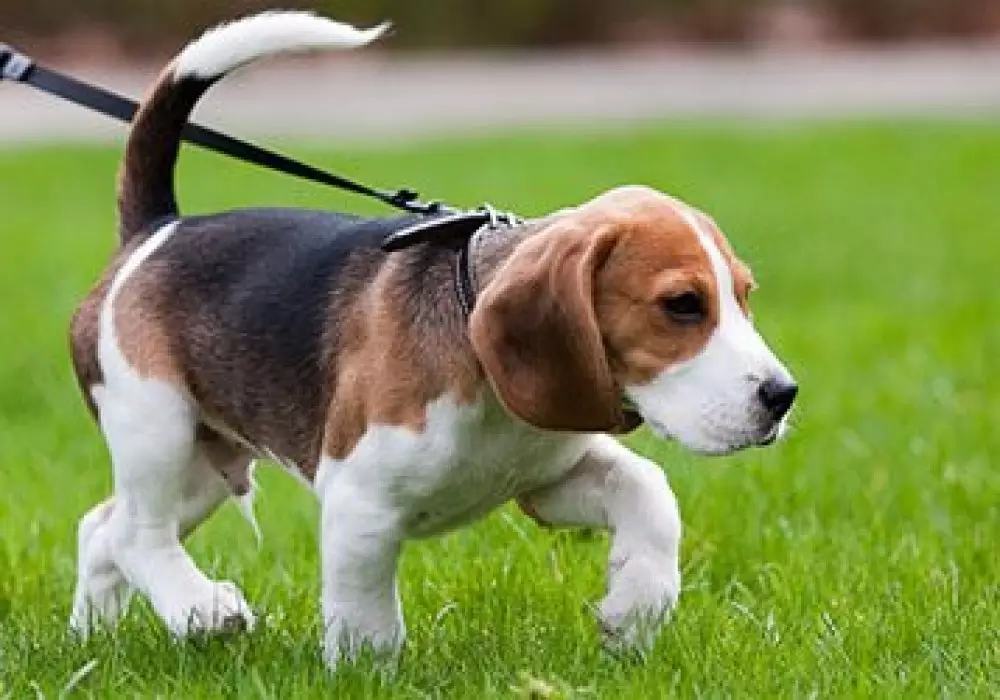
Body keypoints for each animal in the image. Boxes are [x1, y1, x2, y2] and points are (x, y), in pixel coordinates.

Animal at [66, 11, 797, 666]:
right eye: (682, 305)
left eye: (744, 296)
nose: (783, 395)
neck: (486, 375)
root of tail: (158, 230)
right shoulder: (359, 502)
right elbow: (366, 617)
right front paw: (365, 673)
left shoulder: (547, 477)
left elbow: (649, 491)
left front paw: (635, 610)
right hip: (156, 424)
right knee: (137, 534)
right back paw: (200, 608)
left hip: (205, 464)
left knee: (100, 530)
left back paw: (93, 640)